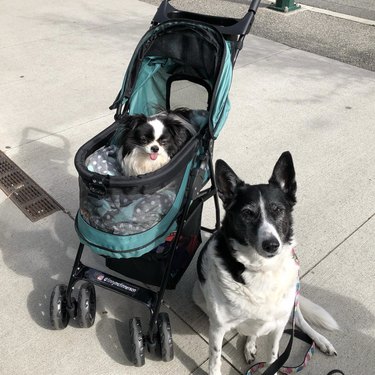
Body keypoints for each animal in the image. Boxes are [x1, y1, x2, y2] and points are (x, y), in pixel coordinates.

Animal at [194, 152, 340, 375]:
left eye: (278, 210)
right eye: (247, 213)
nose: (271, 245)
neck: (261, 268)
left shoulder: (279, 325)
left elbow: (274, 355)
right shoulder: (217, 328)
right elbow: (215, 361)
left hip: (291, 301)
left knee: (299, 320)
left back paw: (321, 340)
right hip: (199, 299)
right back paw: (250, 345)